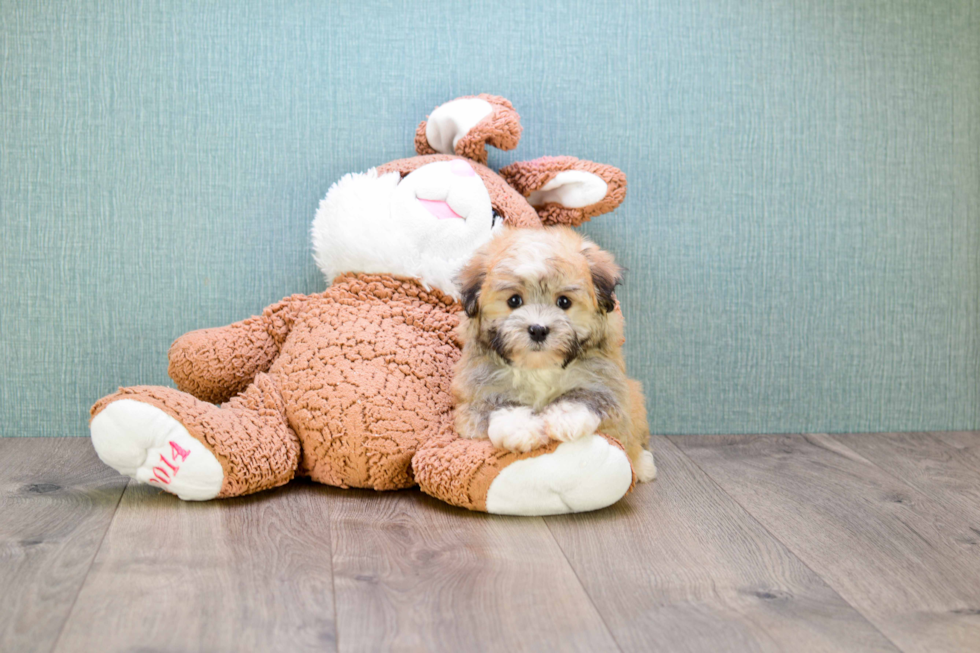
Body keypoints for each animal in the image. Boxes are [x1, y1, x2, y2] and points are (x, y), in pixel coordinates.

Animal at [454, 227, 660, 482]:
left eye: (564, 302)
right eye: (514, 300)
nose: (538, 329)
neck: (540, 367)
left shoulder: (606, 382)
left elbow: (587, 395)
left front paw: (566, 418)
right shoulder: (474, 393)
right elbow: (495, 405)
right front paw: (520, 429)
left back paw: (642, 464)